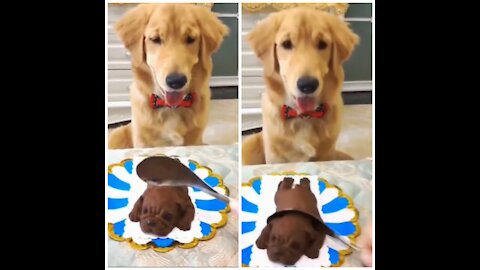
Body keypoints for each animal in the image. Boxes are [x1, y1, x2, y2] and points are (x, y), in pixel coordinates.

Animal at [109, 3, 229, 148]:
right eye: (155, 39)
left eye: (191, 39)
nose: (176, 81)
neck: (171, 108)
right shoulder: (143, 141)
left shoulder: (194, 140)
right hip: (116, 135)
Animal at [242, 7, 358, 165]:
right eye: (286, 44)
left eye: (322, 44)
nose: (307, 85)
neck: (304, 116)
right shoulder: (276, 157)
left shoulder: (326, 155)